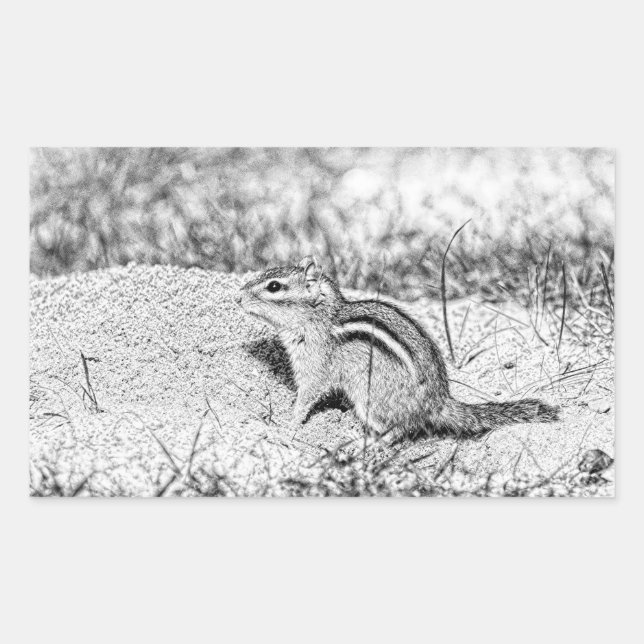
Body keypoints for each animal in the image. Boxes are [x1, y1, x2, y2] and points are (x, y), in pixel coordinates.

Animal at [237, 256, 559, 442]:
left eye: (274, 286)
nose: (237, 298)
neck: (321, 318)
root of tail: (438, 402)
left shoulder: (314, 366)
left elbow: (306, 397)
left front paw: (287, 425)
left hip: (370, 399)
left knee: (400, 430)